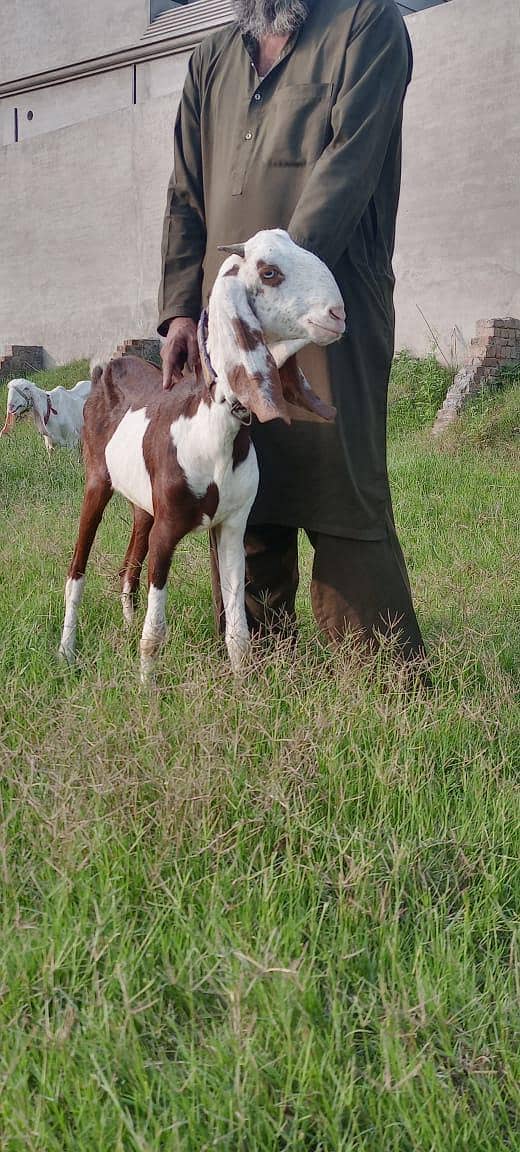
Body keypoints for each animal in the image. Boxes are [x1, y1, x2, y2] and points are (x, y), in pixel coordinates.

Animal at [59, 229, 345, 680]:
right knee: (76, 571)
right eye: (269, 272)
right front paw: (149, 691)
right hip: (96, 484)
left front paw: (244, 687)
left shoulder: (231, 528)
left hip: (143, 507)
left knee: (129, 564)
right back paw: (67, 650)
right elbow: (155, 633)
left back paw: (124, 620)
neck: (214, 428)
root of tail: (106, 370)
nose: (337, 314)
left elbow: (239, 631)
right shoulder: (167, 531)